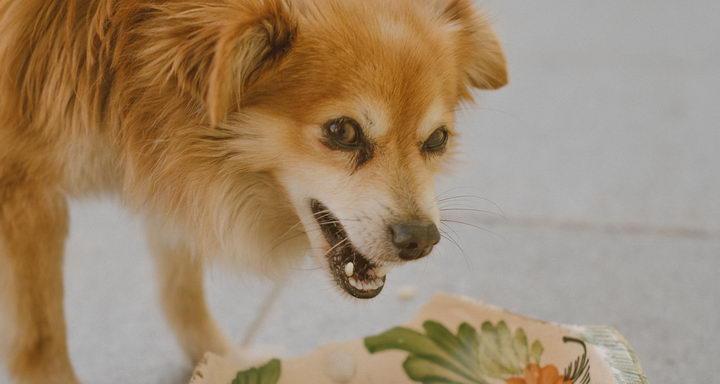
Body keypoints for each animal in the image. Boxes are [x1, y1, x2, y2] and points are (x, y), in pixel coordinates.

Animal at [0, 0, 506, 380]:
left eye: (436, 140)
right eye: (343, 131)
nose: (420, 239)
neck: (123, 45)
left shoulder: (166, 168)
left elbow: (182, 286)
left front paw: (221, 361)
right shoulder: (24, 191)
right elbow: (42, 337)